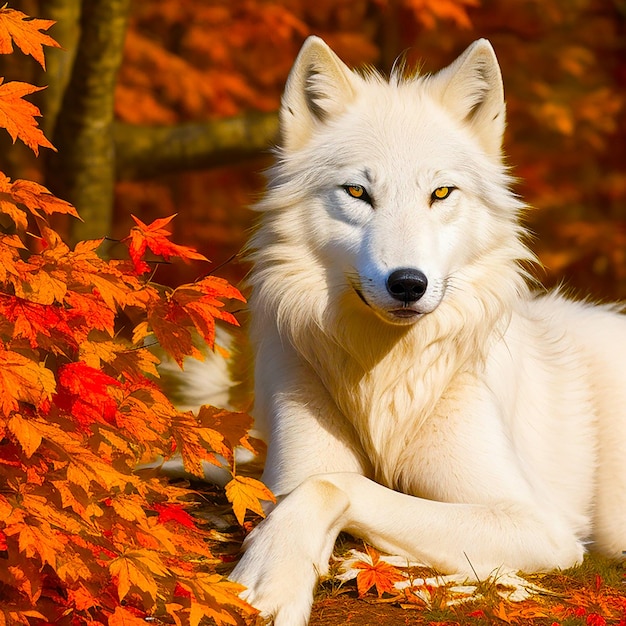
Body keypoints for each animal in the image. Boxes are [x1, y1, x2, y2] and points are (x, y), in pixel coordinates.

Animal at [227, 36, 624, 620]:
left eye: (441, 193)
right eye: (357, 192)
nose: (408, 283)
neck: (385, 377)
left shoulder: (536, 524)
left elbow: (336, 485)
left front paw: (269, 578)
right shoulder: (284, 480)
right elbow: (315, 484)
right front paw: (276, 572)